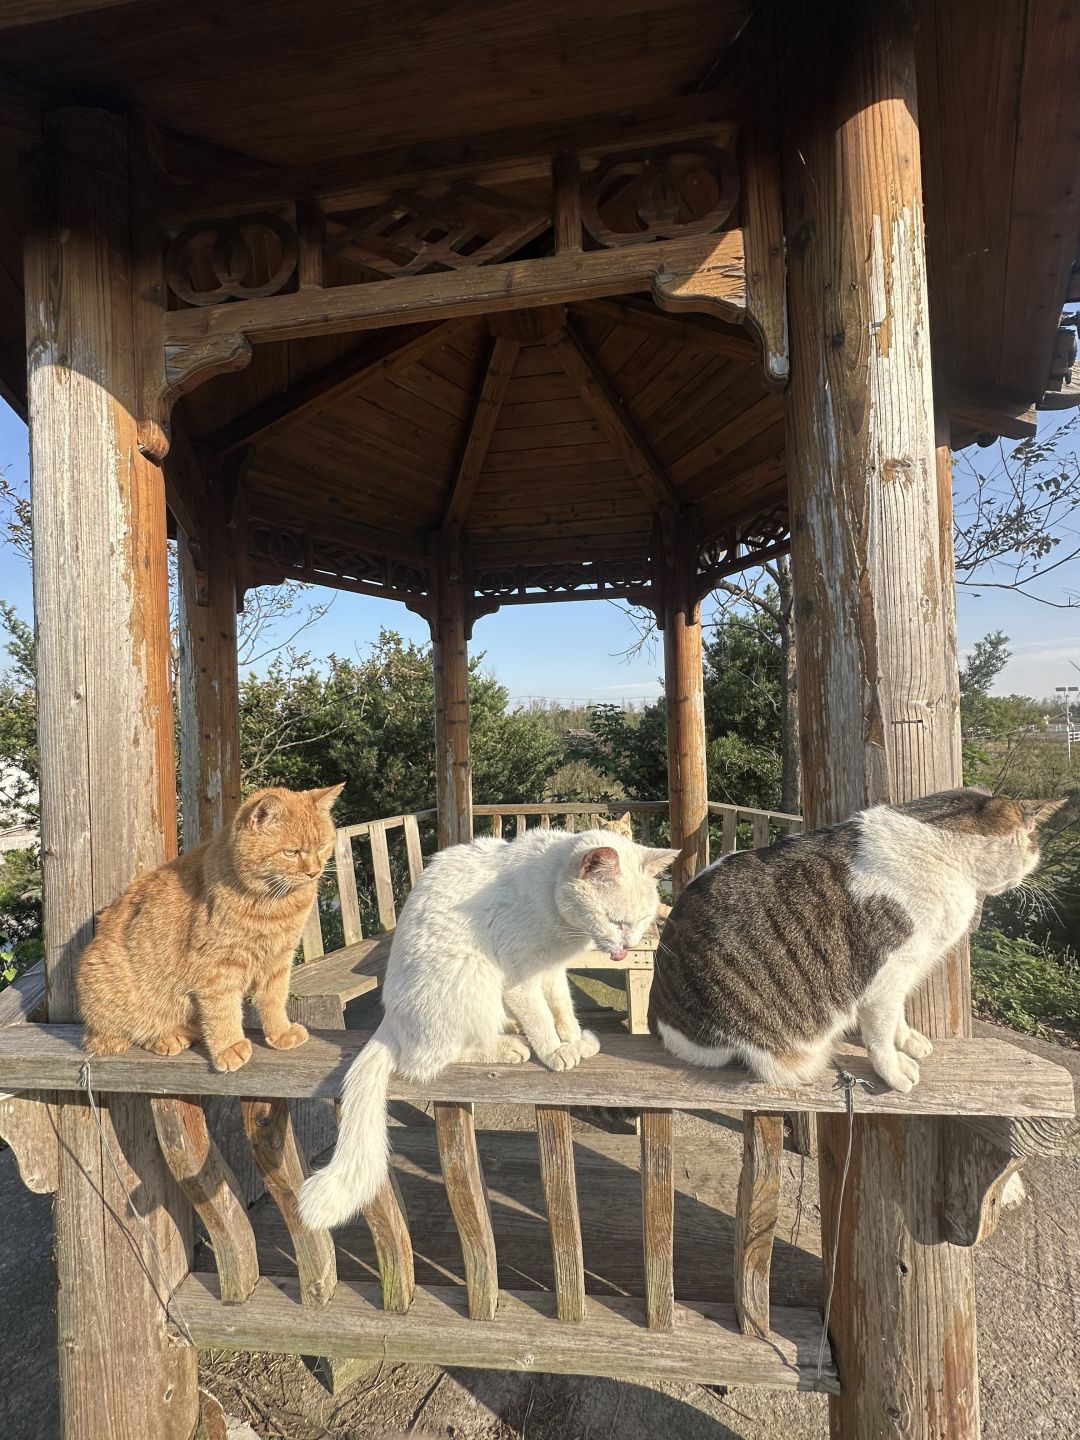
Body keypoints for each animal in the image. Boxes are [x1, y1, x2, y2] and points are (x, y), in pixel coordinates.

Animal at [78, 789, 344, 1071]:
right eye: (291, 852)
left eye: (322, 847)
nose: (314, 872)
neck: (276, 905)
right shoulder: (218, 966)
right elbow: (223, 1010)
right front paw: (229, 1047)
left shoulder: (279, 960)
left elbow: (274, 999)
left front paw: (280, 1033)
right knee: (124, 1034)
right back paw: (167, 1037)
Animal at [300, 829, 676, 1232]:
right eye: (615, 920)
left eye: (642, 919)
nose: (628, 945)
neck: (553, 902)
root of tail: (390, 1022)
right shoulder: (520, 974)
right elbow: (541, 1016)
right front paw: (555, 1050)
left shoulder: (551, 971)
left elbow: (562, 1007)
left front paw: (574, 1040)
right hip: (472, 972)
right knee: (428, 1060)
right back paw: (509, 1046)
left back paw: (513, 1027)